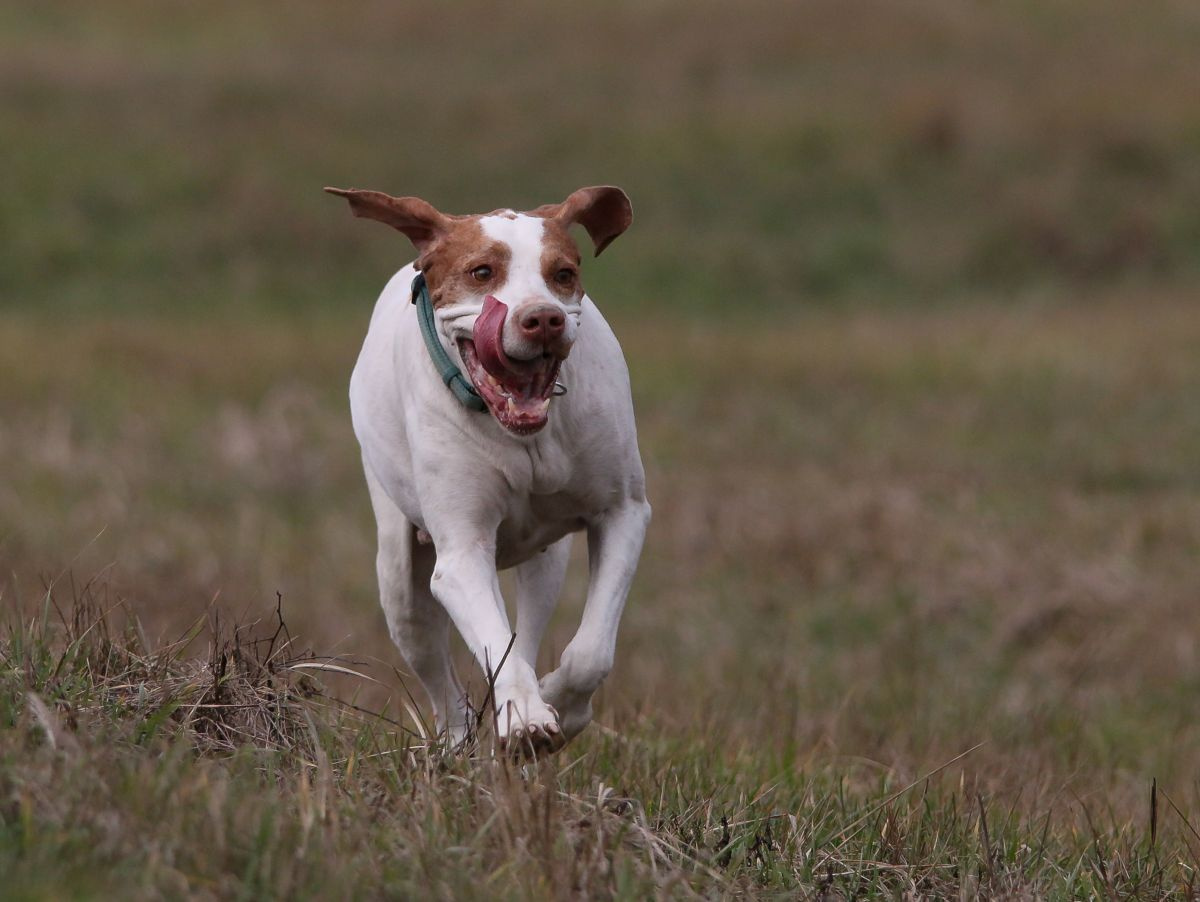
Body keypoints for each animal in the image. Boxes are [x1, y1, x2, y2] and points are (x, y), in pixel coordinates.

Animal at [324, 184, 652, 753]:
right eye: (482, 272)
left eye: (563, 273)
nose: (542, 318)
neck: (525, 438)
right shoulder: (461, 553)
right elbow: (493, 642)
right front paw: (524, 716)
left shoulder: (623, 514)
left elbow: (590, 651)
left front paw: (559, 703)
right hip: (400, 579)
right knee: (440, 675)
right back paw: (456, 744)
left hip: (545, 560)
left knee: (528, 625)